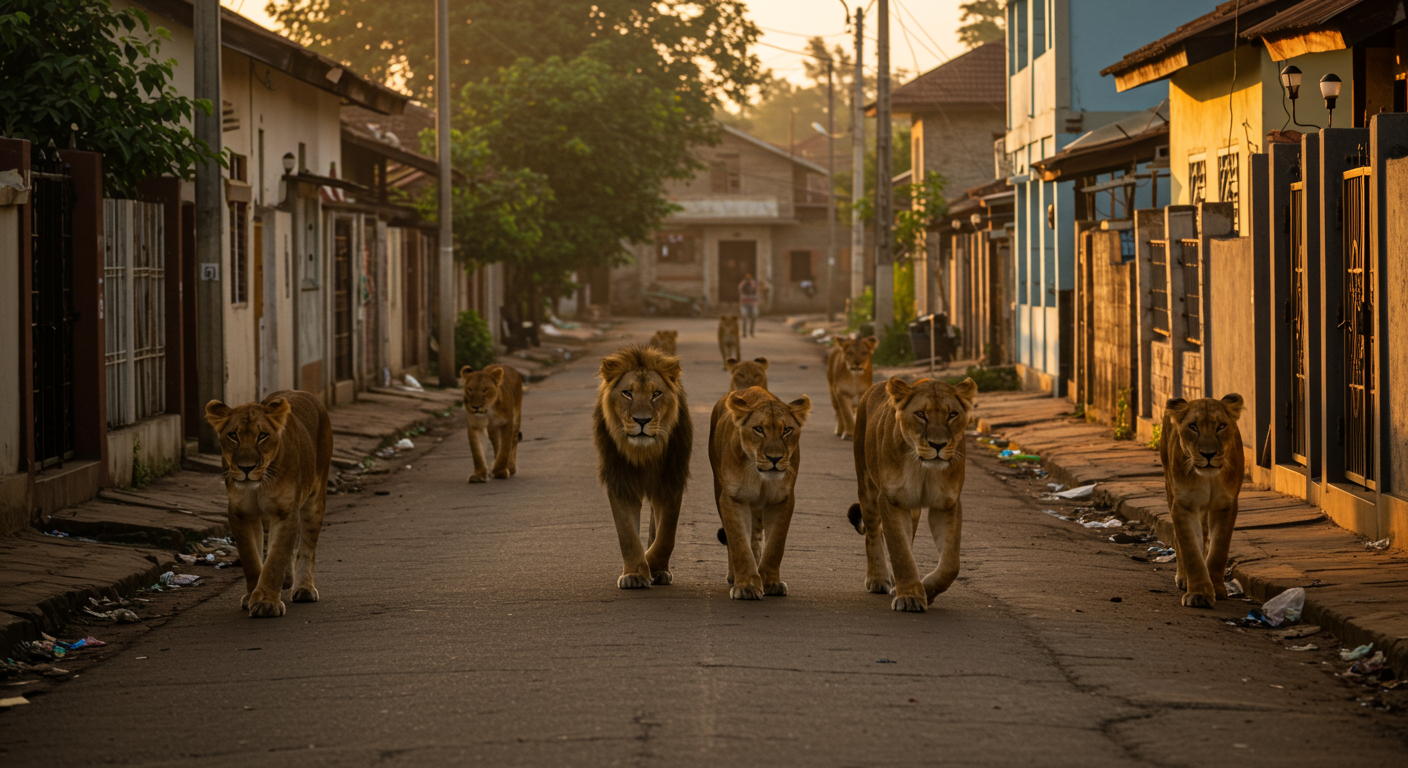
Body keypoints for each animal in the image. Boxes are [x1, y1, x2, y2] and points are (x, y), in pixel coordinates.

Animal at [205, 391, 332, 618]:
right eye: (233, 435)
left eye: (262, 435)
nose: (246, 468)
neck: (259, 485)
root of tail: (303, 393)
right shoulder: (241, 513)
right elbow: (251, 558)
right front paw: (252, 596)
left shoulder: (285, 511)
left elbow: (276, 558)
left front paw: (266, 603)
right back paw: (287, 580)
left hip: (315, 501)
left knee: (307, 547)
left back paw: (304, 588)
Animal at [592, 344, 693, 588]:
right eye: (627, 393)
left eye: (656, 394)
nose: (642, 421)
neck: (643, 453)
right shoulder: (621, 483)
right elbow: (627, 535)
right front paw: (635, 574)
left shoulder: (670, 483)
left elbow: (666, 536)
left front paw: (653, 565)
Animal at [709, 387, 810, 599]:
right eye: (759, 429)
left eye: (786, 430)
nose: (774, 458)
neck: (759, 475)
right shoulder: (733, 498)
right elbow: (739, 543)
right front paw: (746, 585)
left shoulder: (782, 499)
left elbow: (775, 546)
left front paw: (771, 583)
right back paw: (733, 576)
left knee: (756, 538)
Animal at [846, 376, 977, 612]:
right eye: (921, 414)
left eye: (952, 415)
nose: (938, 445)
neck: (923, 468)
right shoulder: (891, 501)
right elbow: (901, 552)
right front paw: (910, 598)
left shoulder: (947, 504)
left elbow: (951, 564)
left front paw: (927, 591)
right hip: (867, 488)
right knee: (873, 533)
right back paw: (878, 579)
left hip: (912, 509)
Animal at [1160, 394, 1245, 608]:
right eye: (1193, 427)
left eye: (1221, 426)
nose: (1208, 454)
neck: (1209, 478)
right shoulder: (1183, 506)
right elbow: (1191, 550)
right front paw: (1199, 593)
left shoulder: (1225, 506)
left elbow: (1219, 550)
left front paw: (1217, 589)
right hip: (1169, 487)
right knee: (1178, 539)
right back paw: (1183, 579)